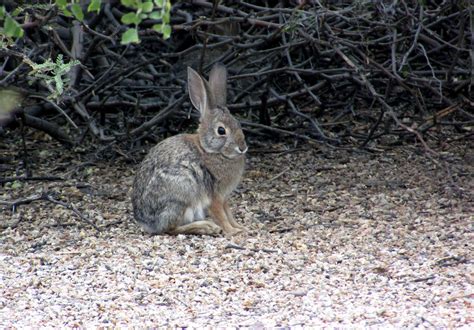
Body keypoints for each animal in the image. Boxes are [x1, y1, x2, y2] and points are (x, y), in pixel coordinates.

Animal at [131, 63, 246, 235]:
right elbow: (221, 215)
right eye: (221, 131)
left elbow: (229, 213)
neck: (209, 150)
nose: (242, 148)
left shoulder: (224, 197)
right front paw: (231, 231)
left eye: (238, 123)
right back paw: (206, 227)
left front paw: (240, 227)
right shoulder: (214, 197)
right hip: (182, 195)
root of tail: (146, 223)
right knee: (170, 228)